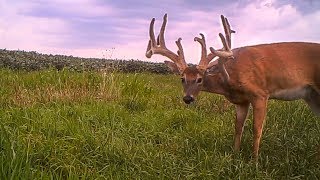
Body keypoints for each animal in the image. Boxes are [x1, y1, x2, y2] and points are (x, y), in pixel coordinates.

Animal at [146, 14, 320, 160]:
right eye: (182, 78)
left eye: (200, 79)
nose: (188, 98)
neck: (230, 79)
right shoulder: (241, 101)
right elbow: (238, 127)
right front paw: (235, 156)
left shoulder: (260, 94)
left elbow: (257, 130)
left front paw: (254, 162)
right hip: (312, 95)